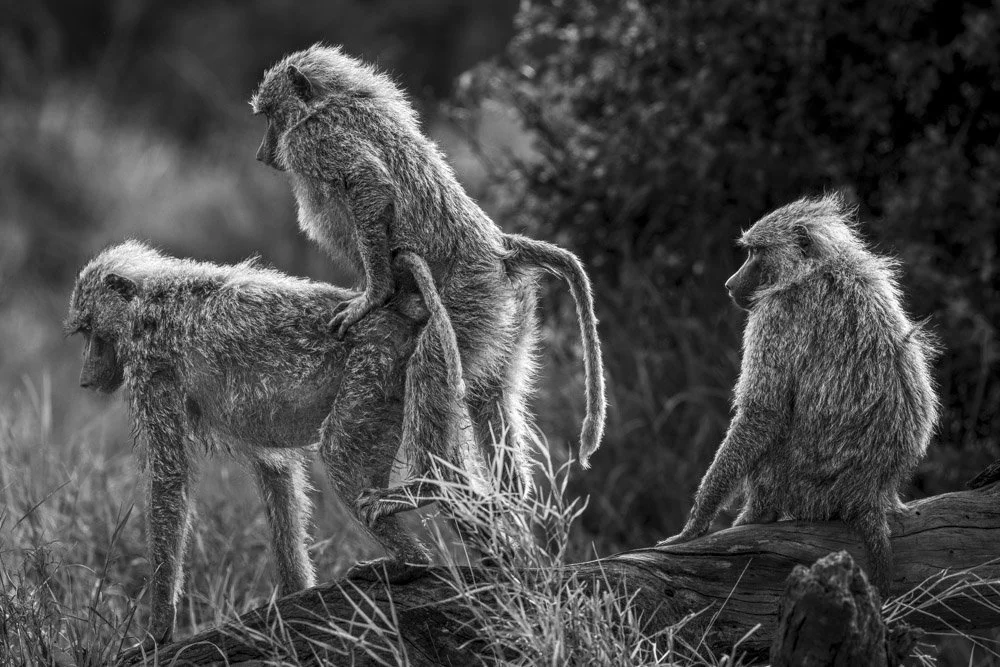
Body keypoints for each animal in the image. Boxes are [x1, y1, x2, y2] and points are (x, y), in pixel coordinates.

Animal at [66, 241, 470, 659]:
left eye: (92, 333)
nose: (85, 379)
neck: (148, 295)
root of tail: (403, 311)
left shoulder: (148, 360)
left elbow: (169, 477)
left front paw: (156, 633)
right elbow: (275, 469)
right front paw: (297, 595)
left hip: (375, 358)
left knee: (340, 453)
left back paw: (411, 562)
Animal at [250, 44, 606, 498]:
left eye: (270, 116)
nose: (261, 154)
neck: (331, 101)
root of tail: (501, 249)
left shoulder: (314, 140)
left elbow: (370, 184)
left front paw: (373, 297)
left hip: (470, 296)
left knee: (430, 366)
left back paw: (427, 484)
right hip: (508, 312)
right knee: (490, 394)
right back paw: (511, 496)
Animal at [658, 194, 939, 597]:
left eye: (755, 253)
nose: (729, 284)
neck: (818, 267)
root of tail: (868, 494)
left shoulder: (775, 312)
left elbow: (764, 412)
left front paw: (695, 524)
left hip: (805, 489)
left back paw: (758, 516)